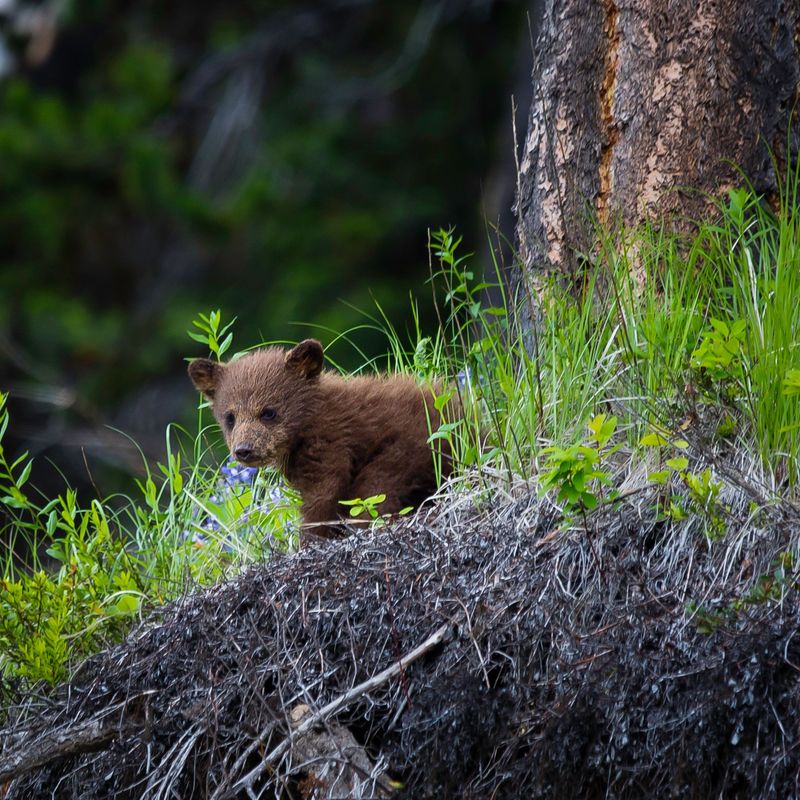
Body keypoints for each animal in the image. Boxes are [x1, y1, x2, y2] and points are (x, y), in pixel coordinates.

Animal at [188, 339, 457, 543]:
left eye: (268, 412)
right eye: (230, 417)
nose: (244, 450)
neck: (308, 421)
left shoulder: (330, 441)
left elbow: (323, 493)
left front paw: (308, 541)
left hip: (408, 449)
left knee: (375, 490)